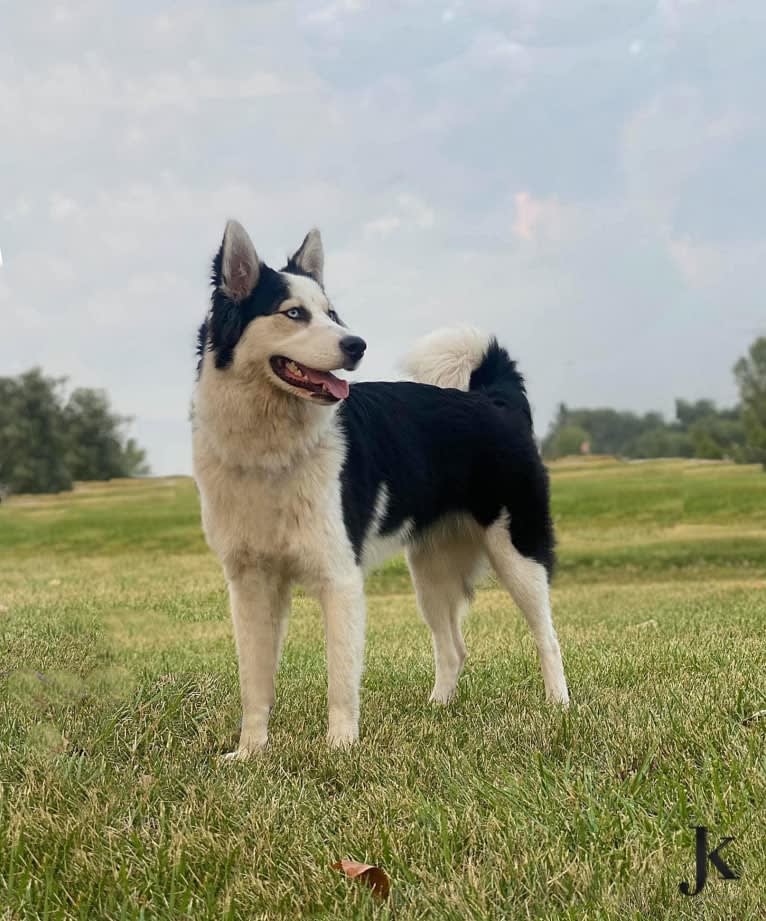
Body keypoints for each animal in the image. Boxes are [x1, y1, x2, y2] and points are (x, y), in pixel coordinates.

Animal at [190, 221, 568, 756]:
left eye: (332, 314)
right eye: (294, 313)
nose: (357, 345)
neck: (271, 449)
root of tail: (493, 400)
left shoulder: (340, 579)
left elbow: (340, 678)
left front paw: (340, 750)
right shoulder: (249, 584)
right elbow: (254, 683)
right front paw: (250, 753)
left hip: (519, 554)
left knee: (547, 636)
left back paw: (559, 706)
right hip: (429, 573)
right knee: (453, 648)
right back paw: (438, 710)